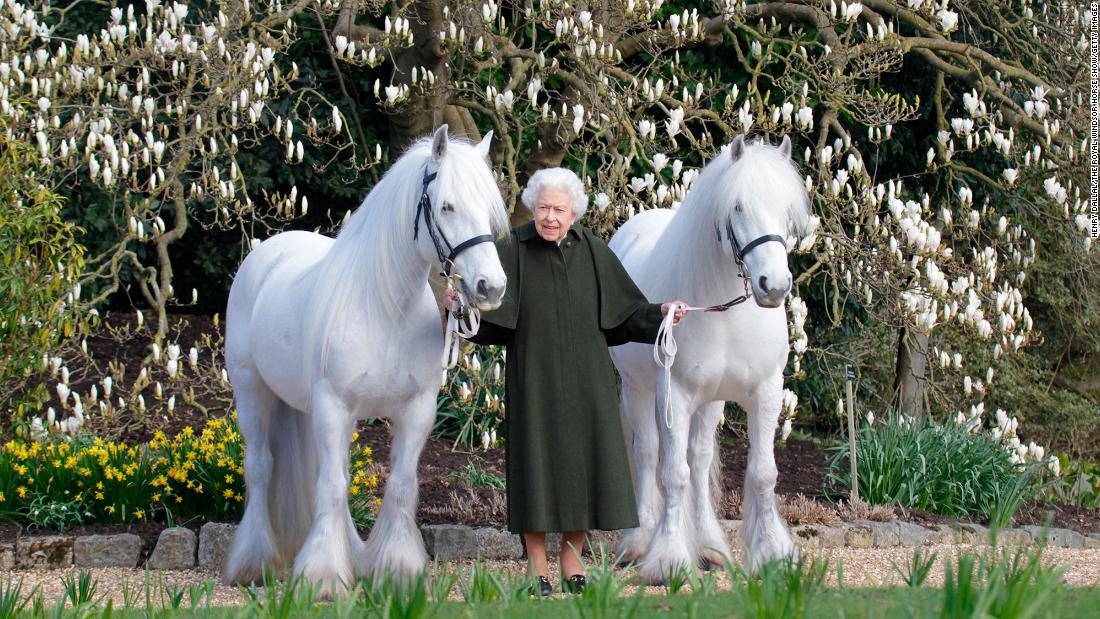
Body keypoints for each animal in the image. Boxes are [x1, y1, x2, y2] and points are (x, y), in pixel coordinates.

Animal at [224, 125, 514, 593]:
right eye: (447, 205)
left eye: (489, 210)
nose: (491, 287)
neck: (384, 309)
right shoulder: (333, 405)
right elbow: (331, 486)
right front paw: (323, 576)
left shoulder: (416, 410)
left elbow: (398, 485)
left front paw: (396, 568)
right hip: (252, 391)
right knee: (261, 468)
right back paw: (254, 562)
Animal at [611, 133, 818, 584]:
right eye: (737, 206)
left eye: (786, 209)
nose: (774, 286)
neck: (725, 311)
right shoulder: (674, 395)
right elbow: (673, 475)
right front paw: (668, 559)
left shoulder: (765, 393)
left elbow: (761, 473)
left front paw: (772, 555)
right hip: (638, 391)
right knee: (648, 453)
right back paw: (640, 541)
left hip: (711, 402)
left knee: (699, 457)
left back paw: (709, 547)